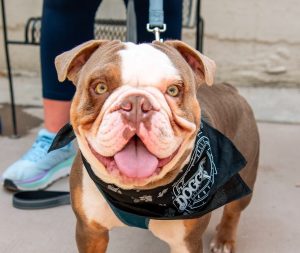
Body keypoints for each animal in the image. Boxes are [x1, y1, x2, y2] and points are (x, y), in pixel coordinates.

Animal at [54, 40, 260, 252]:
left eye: (173, 90)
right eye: (101, 87)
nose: (137, 103)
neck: (136, 195)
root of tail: (230, 89)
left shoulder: (186, 242)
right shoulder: (90, 232)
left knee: (233, 211)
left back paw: (224, 239)